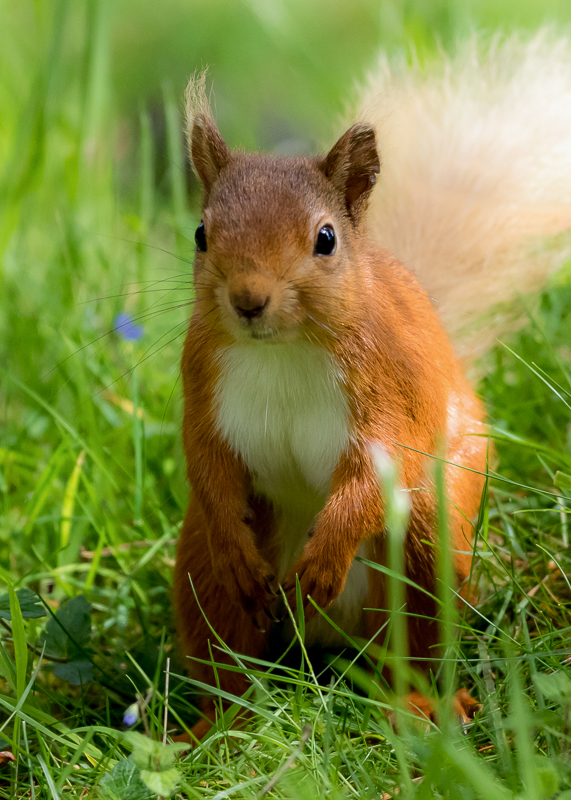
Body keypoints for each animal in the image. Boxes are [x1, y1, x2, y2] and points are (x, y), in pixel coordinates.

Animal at [174, 34, 571, 741]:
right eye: (200, 233)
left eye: (325, 239)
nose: (247, 300)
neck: (285, 350)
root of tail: (326, 639)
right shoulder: (203, 383)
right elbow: (207, 463)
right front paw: (238, 544)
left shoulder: (390, 385)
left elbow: (377, 467)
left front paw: (326, 556)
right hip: (200, 568)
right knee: (228, 645)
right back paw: (216, 726)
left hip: (428, 546)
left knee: (415, 640)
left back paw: (424, 705)